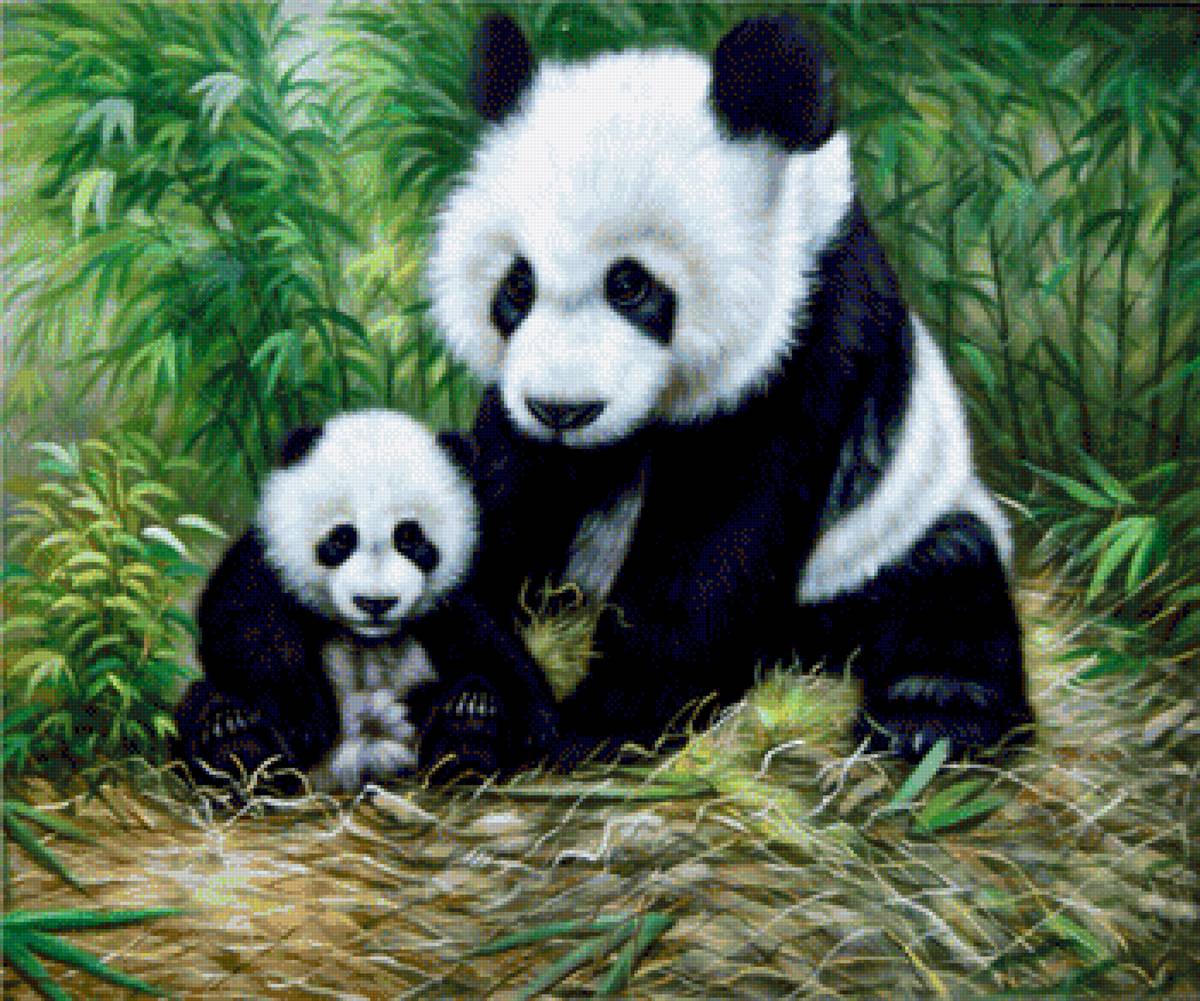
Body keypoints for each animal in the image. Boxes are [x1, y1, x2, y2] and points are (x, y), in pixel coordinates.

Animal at [172, 409, 557, 791]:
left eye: (409, 537)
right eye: (342, 538)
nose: (376, 603)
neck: (368, 637)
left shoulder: (460, 586)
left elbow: (489, 639)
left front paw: (538, 726)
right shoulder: (269, 562)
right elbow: (244, 628)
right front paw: (301, 720)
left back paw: (469, 722)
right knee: (202, 703)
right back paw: (231, 735)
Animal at [426, 14, 1033, 766]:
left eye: (630, 284)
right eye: (518, 283)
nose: (563, 410)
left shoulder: (810, 340)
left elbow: (719, 540)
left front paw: (603, 721)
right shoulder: (518, 406)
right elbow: (496, 502)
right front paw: (488, 698)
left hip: (888, 537)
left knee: (950, 587)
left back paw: (931, 719)